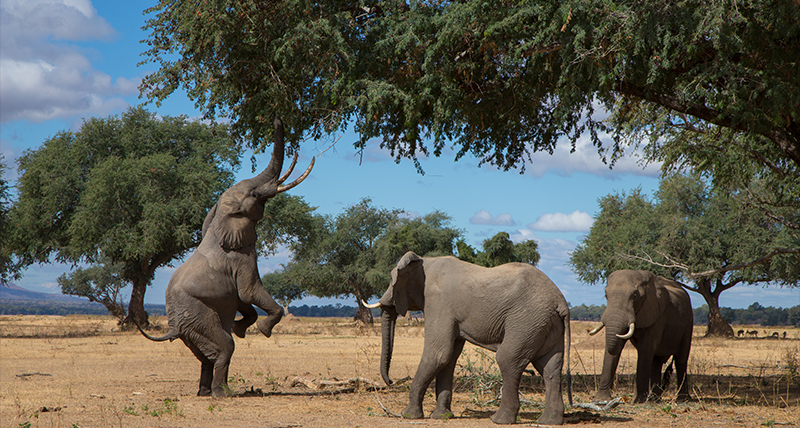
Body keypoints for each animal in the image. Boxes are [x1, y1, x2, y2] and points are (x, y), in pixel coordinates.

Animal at [136, 116, 314, 398]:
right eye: (255, 195)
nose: (277, 117)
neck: (220, 217)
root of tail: (173, 325)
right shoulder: (242, 256)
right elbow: (249, 292)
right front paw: (260, 330)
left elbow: (242, 299)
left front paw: (241, 328)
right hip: (197, 315)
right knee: (225, 347)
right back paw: (223, 393)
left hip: (191, 326)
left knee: (205, 356)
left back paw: (205, 392)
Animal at [362, 252, 568, 422]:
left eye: (392, 280)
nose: (391, 381)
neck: (425, 261)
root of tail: (560, 302)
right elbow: (449, 358)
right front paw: (442, 416)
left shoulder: (439, 303)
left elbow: (437, 354)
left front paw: (408, 415)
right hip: (545, 324)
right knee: (550, 368)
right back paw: (549, 421)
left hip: (527, 321)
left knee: (508, 359)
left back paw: (499, 420)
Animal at [588, 270, 692, 402]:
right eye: (606, 296)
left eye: (635, 296)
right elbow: (615, 348)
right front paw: (601, 399)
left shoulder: (657, 315)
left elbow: (645, 349)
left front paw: (638, 401)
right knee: (656, 361)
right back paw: (654, 399)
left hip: (689, 321)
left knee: (681, 359)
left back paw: (682, 399)